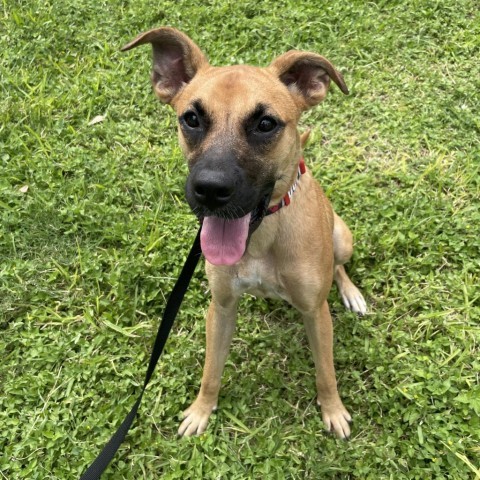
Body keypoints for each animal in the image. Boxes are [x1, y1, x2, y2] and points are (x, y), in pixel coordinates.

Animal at [122, 26, 366, 438]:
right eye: (191, 118)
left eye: (265, 124)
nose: (209, 190)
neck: (263, 237)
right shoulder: (221, 308)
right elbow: (211, 370)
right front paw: (201, 410)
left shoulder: (316, 313)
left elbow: (326, 373)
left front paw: (333, 410)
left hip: (342, 238)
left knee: (338, 266)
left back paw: (351, 293)